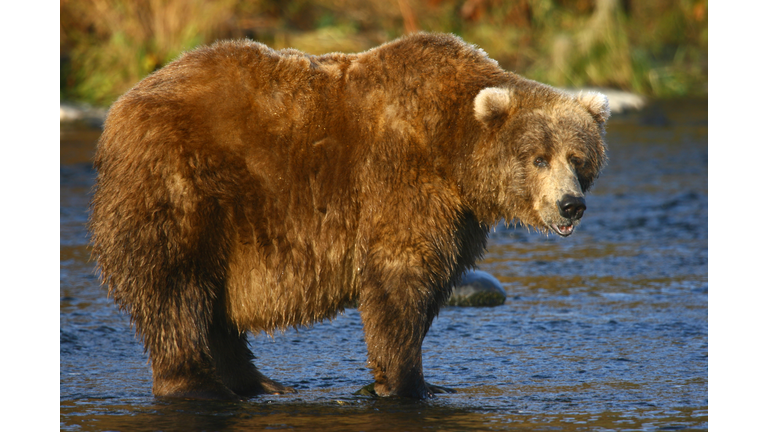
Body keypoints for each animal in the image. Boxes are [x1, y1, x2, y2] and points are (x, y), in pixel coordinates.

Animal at [88, 32, 608, 400]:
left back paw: (258, 382)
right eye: (538, 158)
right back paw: (198, 383)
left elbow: (434, 278)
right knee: (177, 286)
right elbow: (399, 276)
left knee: (210, 303)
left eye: (578, 157)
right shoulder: (400, 182)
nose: (570, 204)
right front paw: (407, 383)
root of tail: (120, 106)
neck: (453, 151)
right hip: (183, 186)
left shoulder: (458, 216)